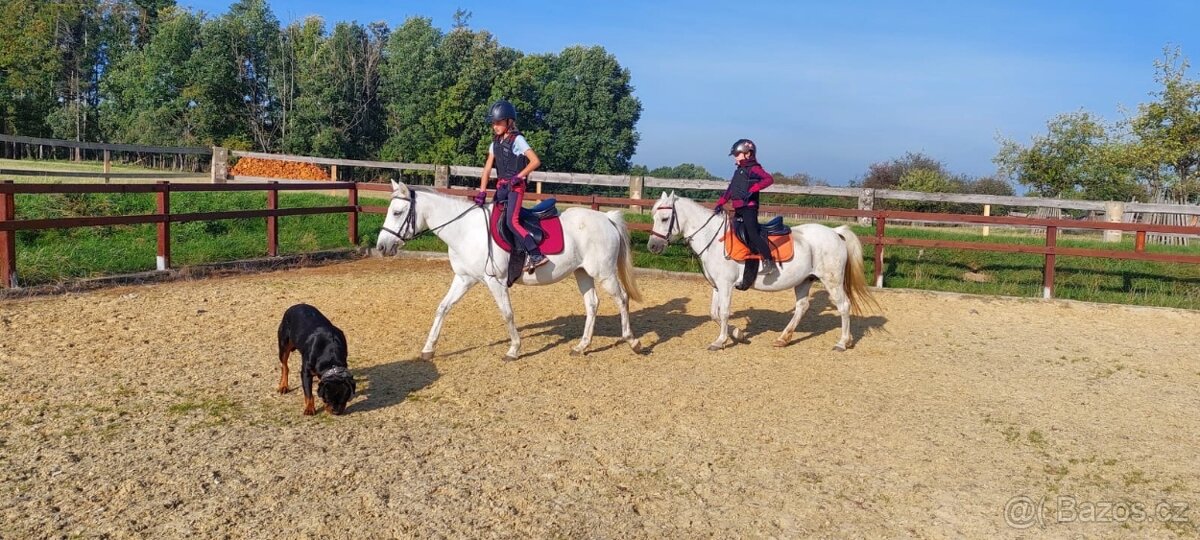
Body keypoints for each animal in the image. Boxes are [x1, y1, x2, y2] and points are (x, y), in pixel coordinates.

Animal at [375, 181, 643, 361]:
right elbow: (443, 308)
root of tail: (607, 219)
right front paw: (428, 349)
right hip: (583, 273)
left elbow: (507, 314)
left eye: (397, 212)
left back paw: (633, 341)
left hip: (604, 273)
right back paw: (582, 346)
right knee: (592, 304)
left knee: (622, 299)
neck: (466, 230)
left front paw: (514, 350)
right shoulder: (464, 279)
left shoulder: (496, 282)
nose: (382, 246)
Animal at [645, 192, 878, 351]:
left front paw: (720, 341)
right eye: (653, 217)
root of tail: (835, 232)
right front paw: (738, 334)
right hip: (804, 280)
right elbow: (714, 313)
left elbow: (724, 312)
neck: (714, 238)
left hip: (832, 281)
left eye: (664, 219)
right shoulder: (717, 286)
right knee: (802, 307)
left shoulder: (726, 285)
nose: (653, 246)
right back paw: (783, 339)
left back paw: (843, 342)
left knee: (844, 306)